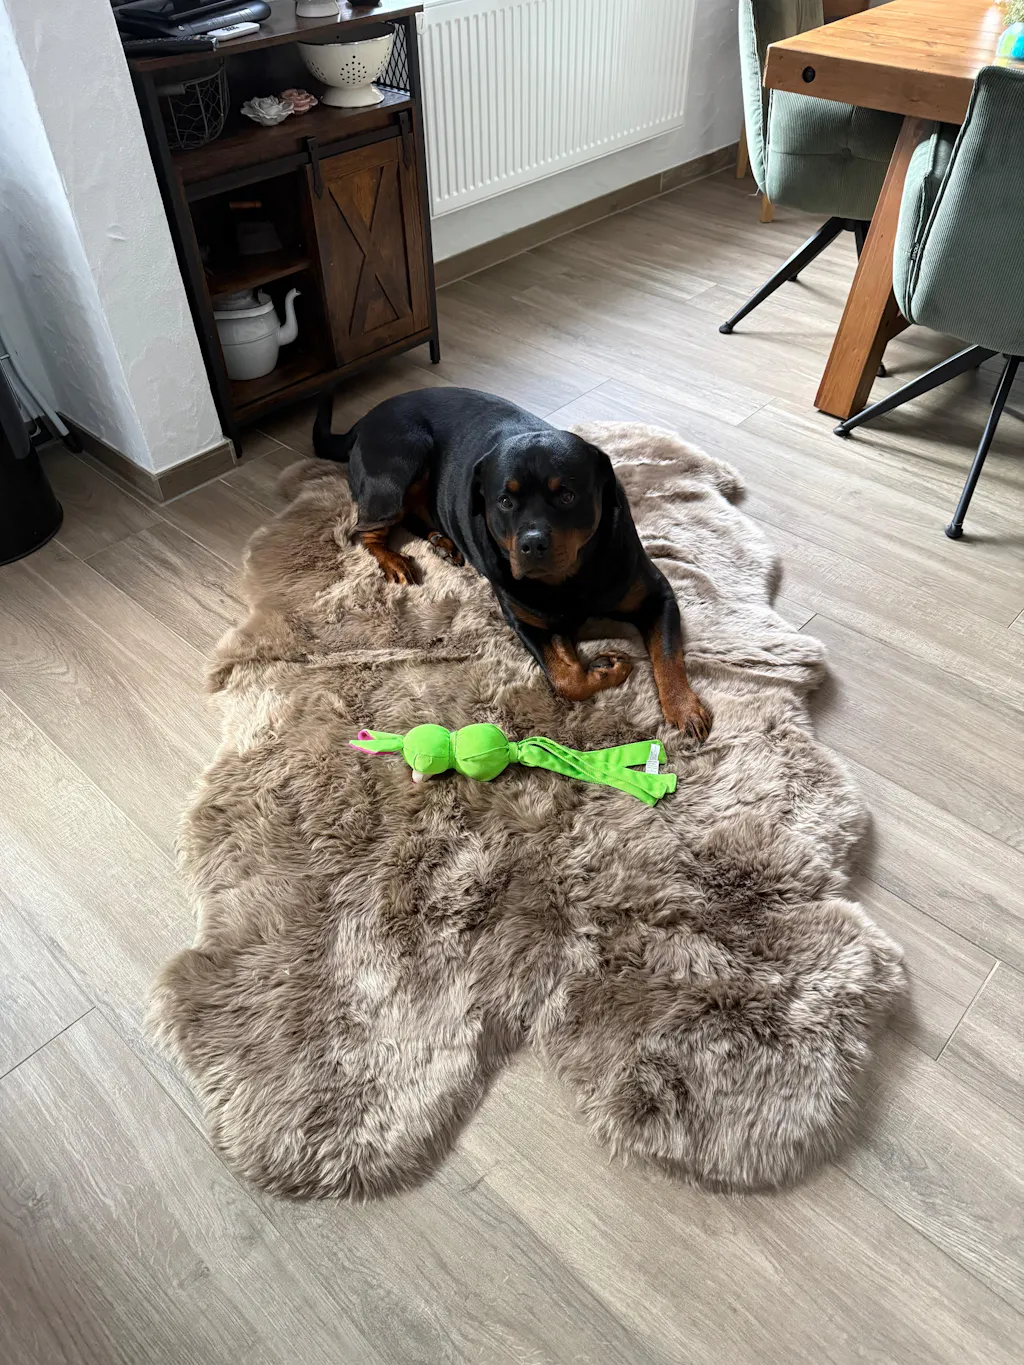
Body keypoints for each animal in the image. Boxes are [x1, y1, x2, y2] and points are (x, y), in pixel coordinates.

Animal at [313, 387, 711, 741]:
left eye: (567, 496)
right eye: (504, 501)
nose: (532, 543)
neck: (572, 578)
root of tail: (365, 419)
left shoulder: (656, 594)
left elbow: (668, 654)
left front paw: (683, 708)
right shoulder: (525, 620)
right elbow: (567, 680)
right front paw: (609, 668)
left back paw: (442, 542)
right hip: (400, 465)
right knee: (365, 529)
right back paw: (395, 561)